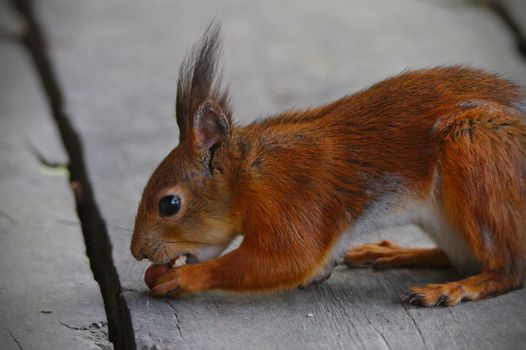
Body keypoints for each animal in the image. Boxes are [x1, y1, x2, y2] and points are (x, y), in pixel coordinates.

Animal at [131, 22, 526, 306]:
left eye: (169, 204)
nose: (137, 252)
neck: (249, 173)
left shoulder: (295, 200)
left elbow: (288, 257)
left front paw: (182, 279)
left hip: (476, 150)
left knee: (509, 268)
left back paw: (452, 288)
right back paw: (391, 252)